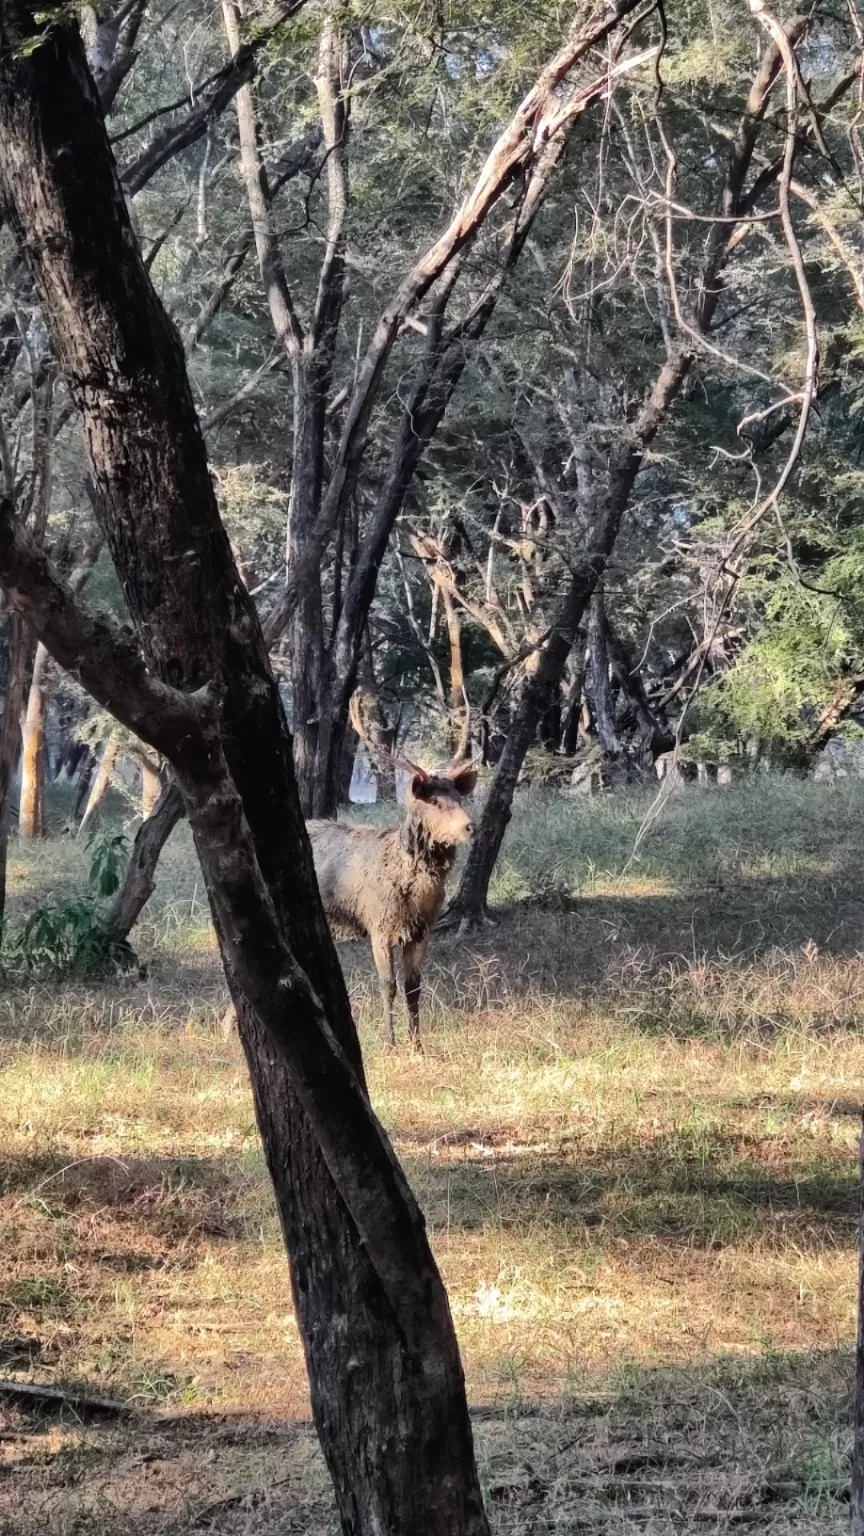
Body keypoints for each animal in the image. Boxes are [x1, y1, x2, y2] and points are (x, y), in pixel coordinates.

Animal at [304, 752, 476, 1050]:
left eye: (459, 798)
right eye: (434, 802)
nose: (469, 826)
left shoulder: (421, 931)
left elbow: (413, 987)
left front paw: (417, 1044)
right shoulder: (379, 926)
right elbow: (388, 985)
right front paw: (390, 1043)